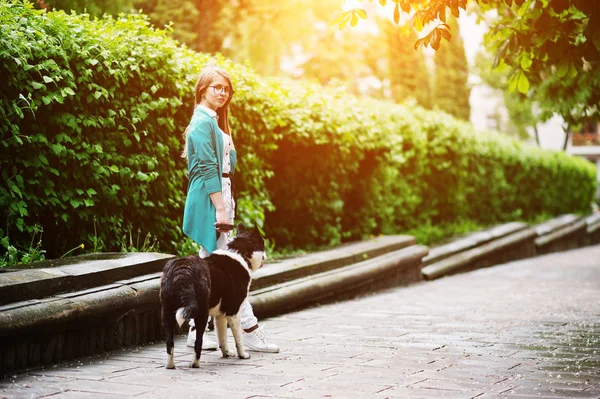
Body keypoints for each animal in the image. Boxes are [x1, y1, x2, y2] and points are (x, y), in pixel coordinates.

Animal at [159, 223, 264, 370]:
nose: (265, 255)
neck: (239, 252)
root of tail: (183, 269)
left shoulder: (220, 315)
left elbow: (222, 338)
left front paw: (226, 353)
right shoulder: (233, 312)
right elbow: (238, 339)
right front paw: (242, 355)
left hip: (167, 312)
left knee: (169, 343)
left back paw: (170, 365)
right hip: (201, 313)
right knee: (198, 342)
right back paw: (194, 363)